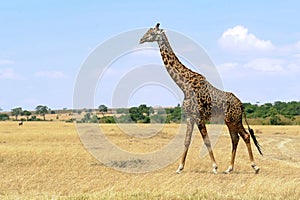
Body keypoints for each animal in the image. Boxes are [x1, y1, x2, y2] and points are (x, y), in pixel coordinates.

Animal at [139, 23, 262, 173]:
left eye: (151, 33)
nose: (141, 39)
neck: (184, 85)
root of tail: (241, 104)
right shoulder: (189, 116)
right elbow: (186, 141)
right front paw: (180, 168)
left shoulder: (198, 117)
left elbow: (206, 140)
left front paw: (214, 167)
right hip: (229, 121)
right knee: (235, 138)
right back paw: (229, 168)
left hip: (235, 119)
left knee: (245, 136)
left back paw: (255, 166)